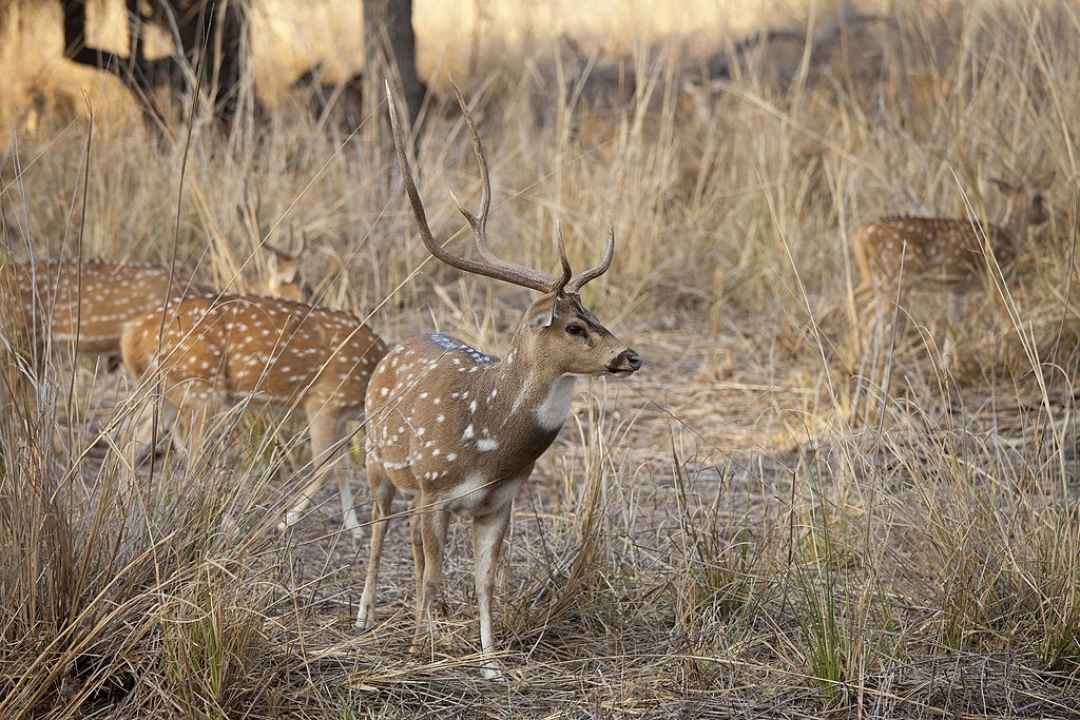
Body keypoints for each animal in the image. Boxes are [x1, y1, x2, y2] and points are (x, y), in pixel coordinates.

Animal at [354, 85, 639, 682]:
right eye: (574, 326)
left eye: (595, 314)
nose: (630, 355)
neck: (487, 440)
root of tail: (399, 343)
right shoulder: (436, 489)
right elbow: (435, 573)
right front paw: (415, 654)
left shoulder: (500, 502)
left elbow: (484, 580)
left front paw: (489, 663)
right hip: (376, 459)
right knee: (380, 531)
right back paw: (366, 616)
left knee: (411, 544)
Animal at [851, 172, 1054, 369]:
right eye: (1038, 197)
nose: (1046, 215)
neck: (1011, 237)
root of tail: (861, 234)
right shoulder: (994, 278)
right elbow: (1006, 318)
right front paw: (1015, 358)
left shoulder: (958, 289)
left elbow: (953, 326)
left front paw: (946, 367)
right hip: (894, 278)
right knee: (864, 309)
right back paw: (861, 355)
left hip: (878, 278)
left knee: (858, 300)